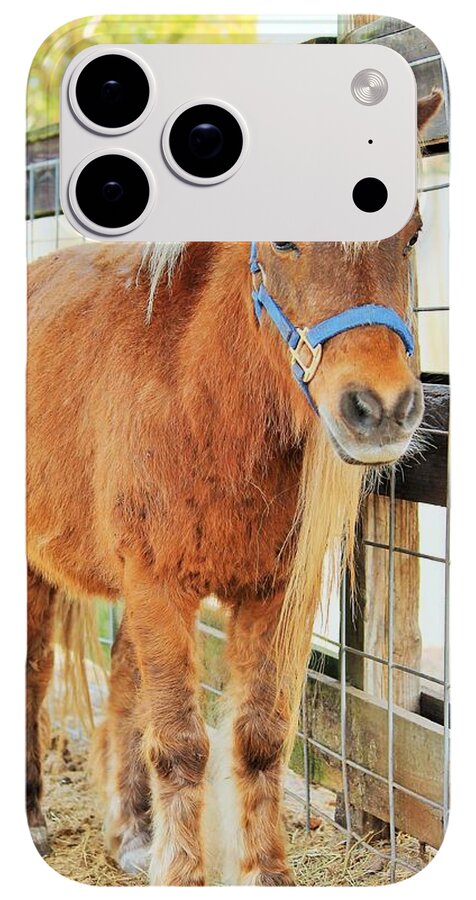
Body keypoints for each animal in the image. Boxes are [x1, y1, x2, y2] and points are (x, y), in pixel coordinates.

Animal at [26, 90, 442, 885]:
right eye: (282, 240)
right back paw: (33, 814)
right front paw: (184, 875)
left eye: (411, 235)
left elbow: (258, 737)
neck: (201, 403)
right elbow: (182, 744)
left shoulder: (272, 594)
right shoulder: (158, 583)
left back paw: (131, 832)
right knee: (35, 673)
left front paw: (265, 873)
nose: (381, 409)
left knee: (123, 686)